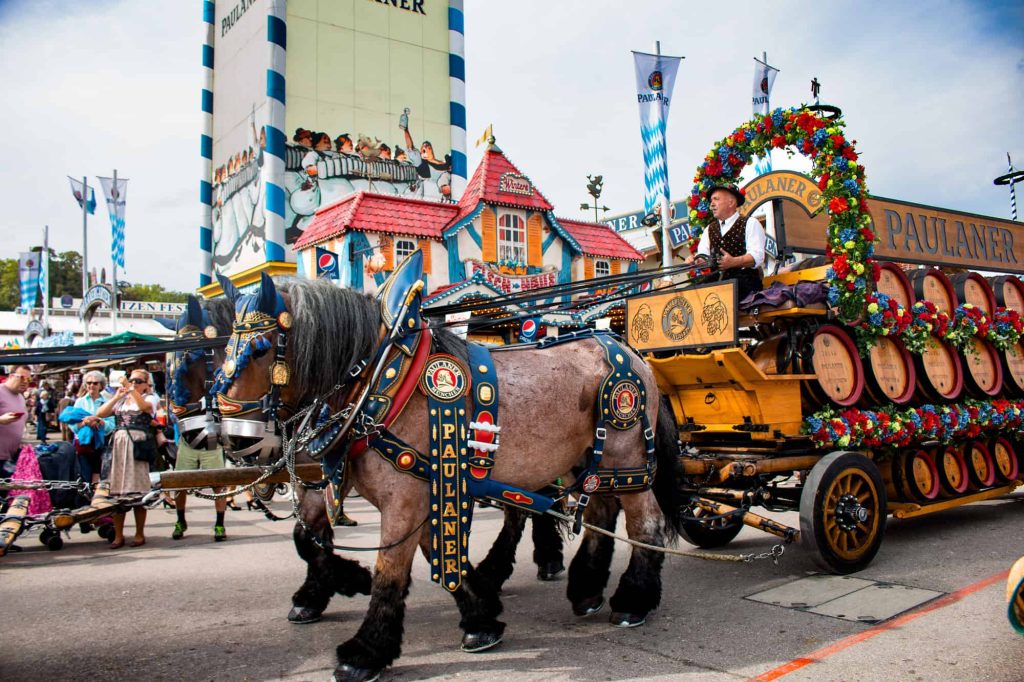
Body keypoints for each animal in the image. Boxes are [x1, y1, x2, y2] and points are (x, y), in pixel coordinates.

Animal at [215, 251, 684, 675]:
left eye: (259, 350)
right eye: (225, 351)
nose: (237, 439)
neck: (381, 381)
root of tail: (627, 351)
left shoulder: (405, 497)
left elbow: (390, 569)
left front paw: (365, 650)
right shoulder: (423, 484)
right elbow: (400, 548)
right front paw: (480, 617)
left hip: (627, 455)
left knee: (645, 523)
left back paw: (632, 601)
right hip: (587, 461)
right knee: (600, 511)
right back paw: (585, 589)